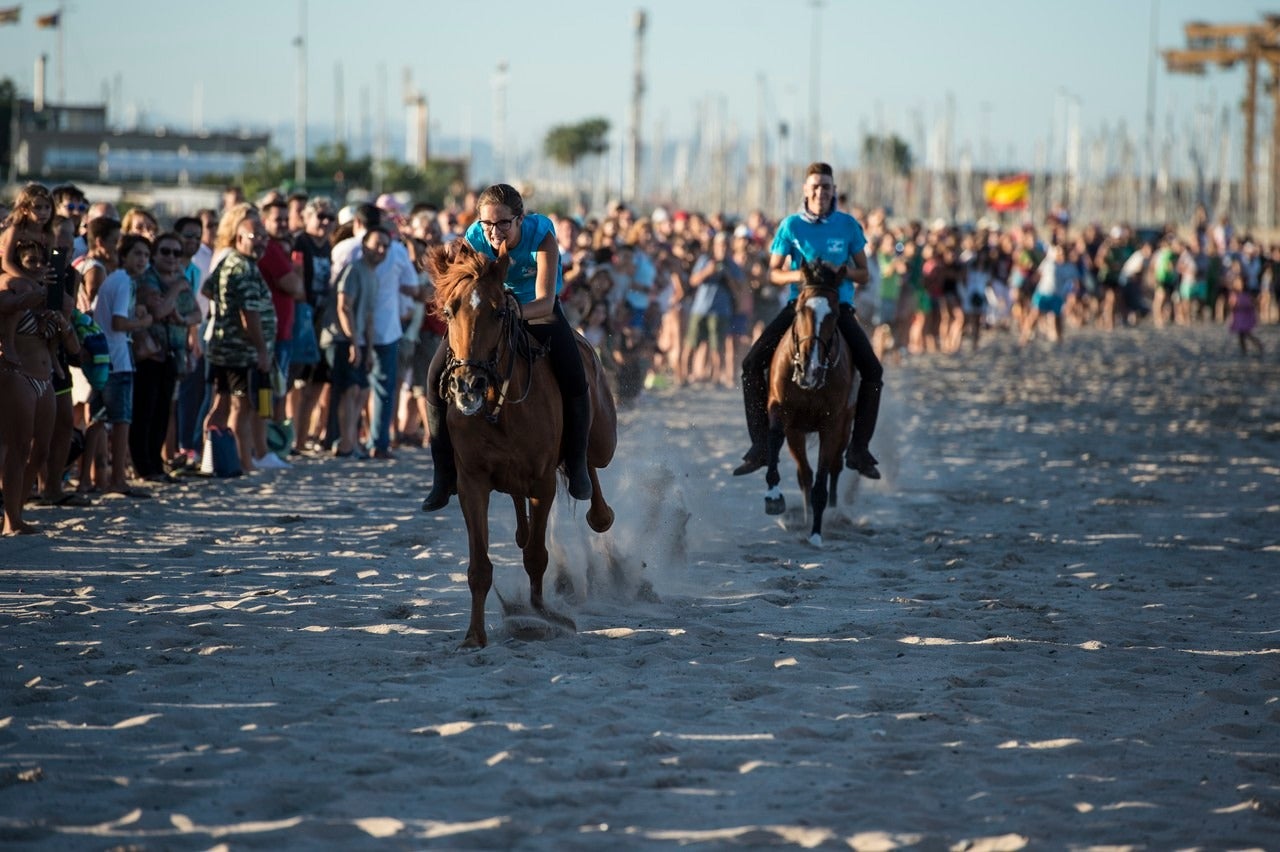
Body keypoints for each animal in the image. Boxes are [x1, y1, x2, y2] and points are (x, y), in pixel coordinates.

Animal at [426, 241, 617, 648]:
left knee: (590, 462)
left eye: (499, 312)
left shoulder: (542, 483)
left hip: (602, 438)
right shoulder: (472, 483)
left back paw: (598, 510)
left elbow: (536, 557)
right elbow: (480, 567)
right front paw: (474, 636)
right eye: (449, 311)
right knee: (521, 511)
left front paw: (541, 615)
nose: (468, 385)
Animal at [762, 259, 856, 547]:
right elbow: (777, 442)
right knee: (805, 473)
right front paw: (773, 496)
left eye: (835, 314)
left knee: (835, 466)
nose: (809, 368)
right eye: (801, 308)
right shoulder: (784, 414)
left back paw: (833, 514)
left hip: (846, 425)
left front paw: (816, 533)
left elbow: (822, 479)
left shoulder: (831, 424)